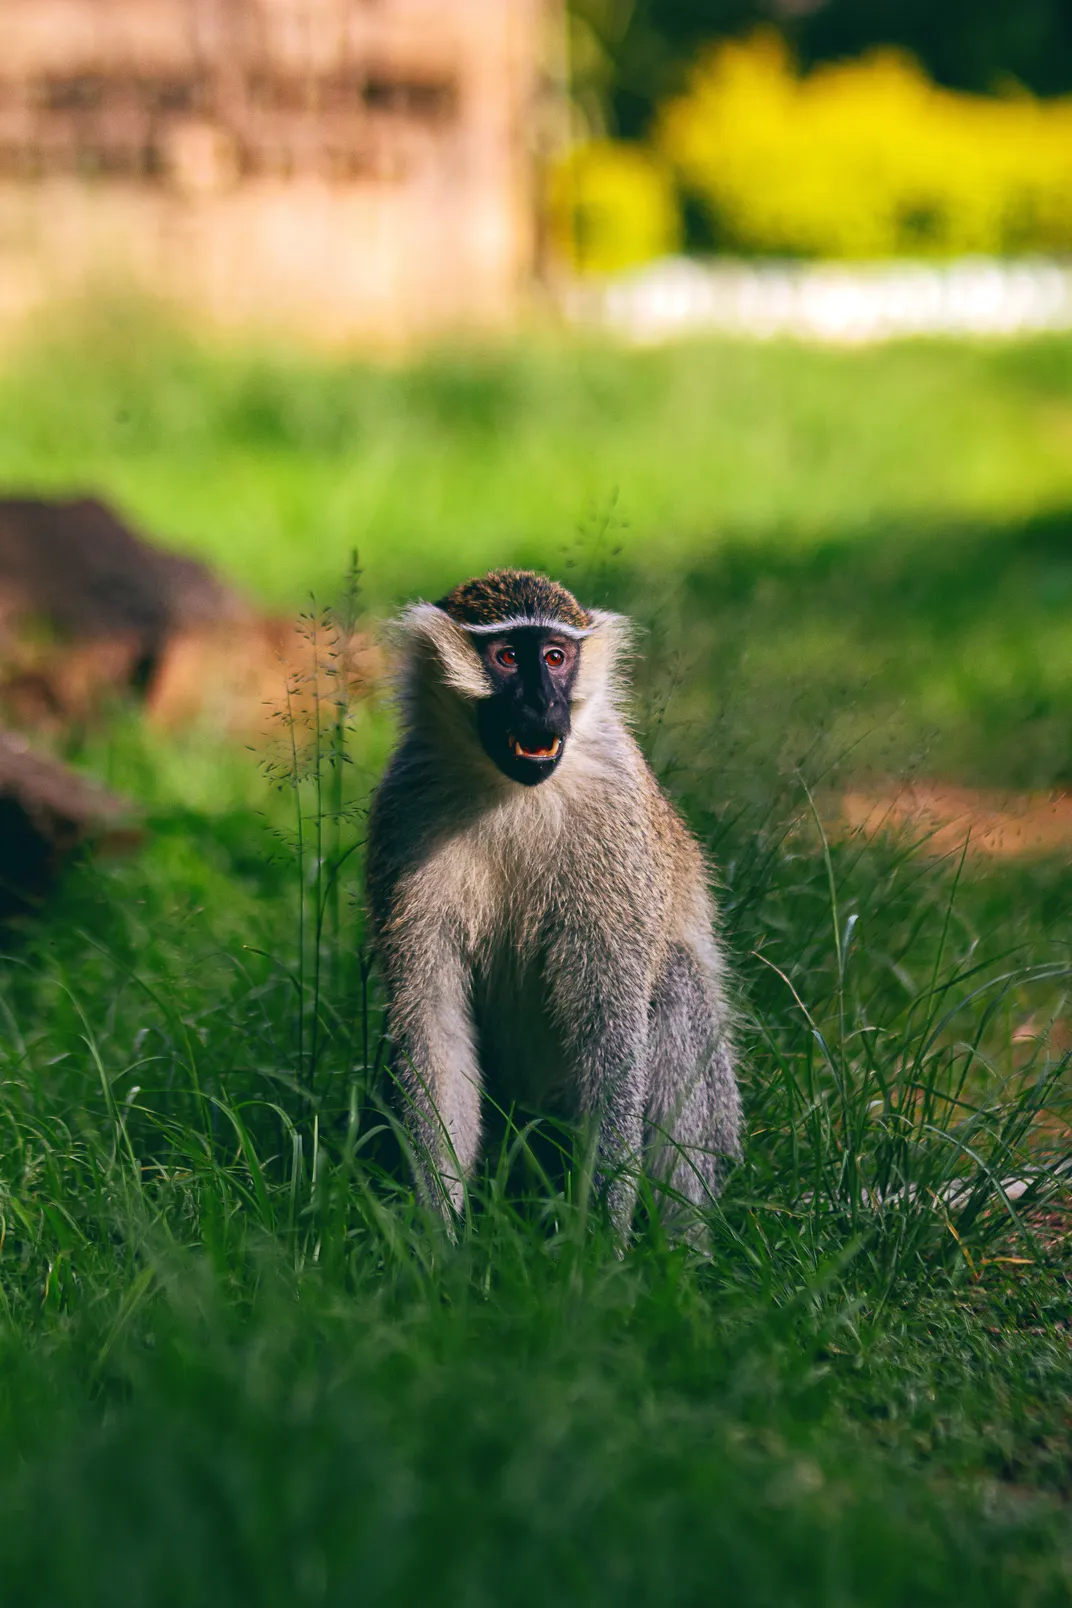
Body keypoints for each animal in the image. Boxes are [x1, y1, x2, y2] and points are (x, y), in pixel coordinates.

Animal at [366, 568, 741, 1239]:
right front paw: (438, 1238)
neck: (508, 791)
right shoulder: (404, 807)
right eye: (509, 658)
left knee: (676, 981)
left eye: (557, 658)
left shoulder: (614, 818)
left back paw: (682, 1251)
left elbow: (610, 1031)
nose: (544, 705)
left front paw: (598, 1244)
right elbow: (434, 1026)